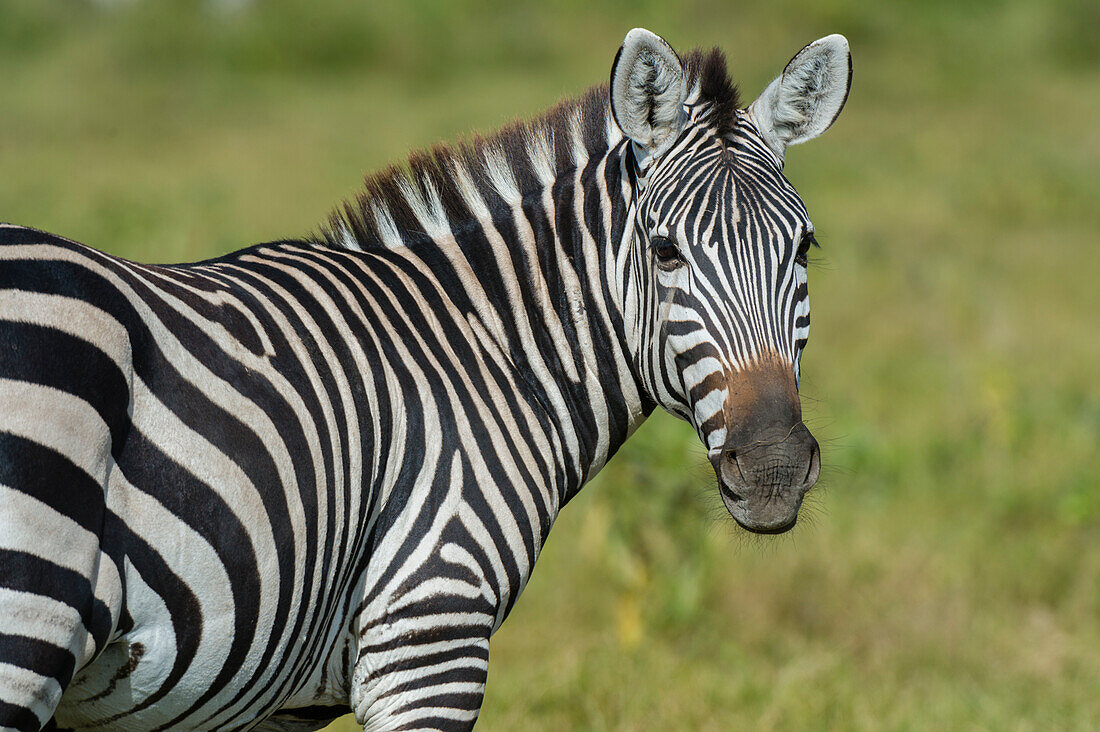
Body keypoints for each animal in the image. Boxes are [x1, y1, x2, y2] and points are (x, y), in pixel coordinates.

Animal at [0, 28, 849, 730]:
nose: (773, 470)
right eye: (666, 251)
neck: (484, 349)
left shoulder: (282, 701)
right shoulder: (430, 634)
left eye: (804, 248)